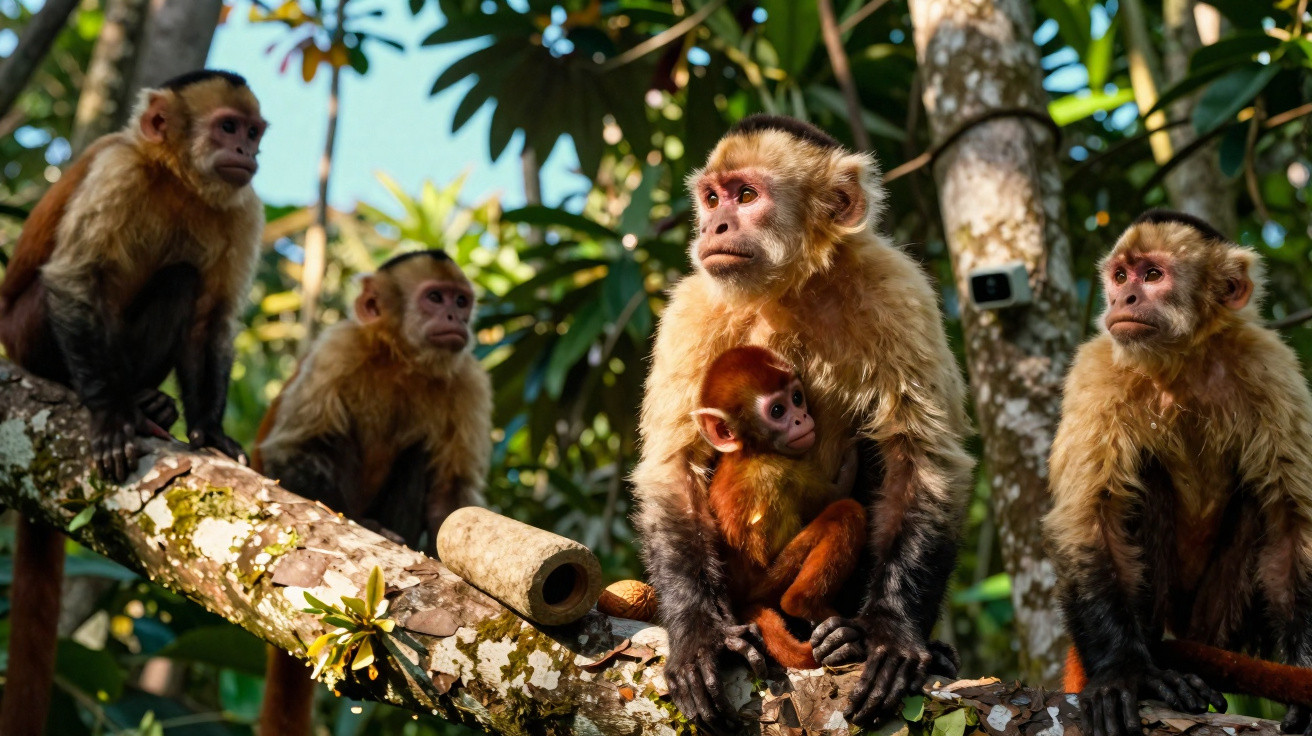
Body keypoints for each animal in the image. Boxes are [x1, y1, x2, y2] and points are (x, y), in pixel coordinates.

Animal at [0, 70, 264, 736]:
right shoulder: (118, 170)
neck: (176, 180)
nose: (246, 151)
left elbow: (211, 321)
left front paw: (208, 431)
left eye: (253, 132)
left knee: (182, 280)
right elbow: (72, 278)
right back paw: (102, 395)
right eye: (228, 127)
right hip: (23, 334)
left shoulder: (244, 205)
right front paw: (109, 416)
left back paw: (152, 403)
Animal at [252, 249, 492, 736]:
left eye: (461, 300)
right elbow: (294, 449)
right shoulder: (339, 348)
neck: (402, 360)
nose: (456, 317)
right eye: (435, 298)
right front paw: (360, 524)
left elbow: (450, 496)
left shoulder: (468, 380)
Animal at [693, 345, 866, 670]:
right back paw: (802, 605)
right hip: (771, 582)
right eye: (777, 411)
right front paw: (852, 456)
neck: (749, 451)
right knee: (846, 512)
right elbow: (838, 493)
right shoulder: (785, 471)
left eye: (797, 398)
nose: (801, 417)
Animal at [1045, 209, 1312, 736]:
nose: (1123, 299)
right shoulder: (1098, 367)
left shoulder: (1269, 366)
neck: (1181, 363)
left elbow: (1293, 521)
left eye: (1152, 276)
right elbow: (1091, 518)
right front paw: (1124, 672)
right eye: (1121, 276)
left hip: (1215, 622)